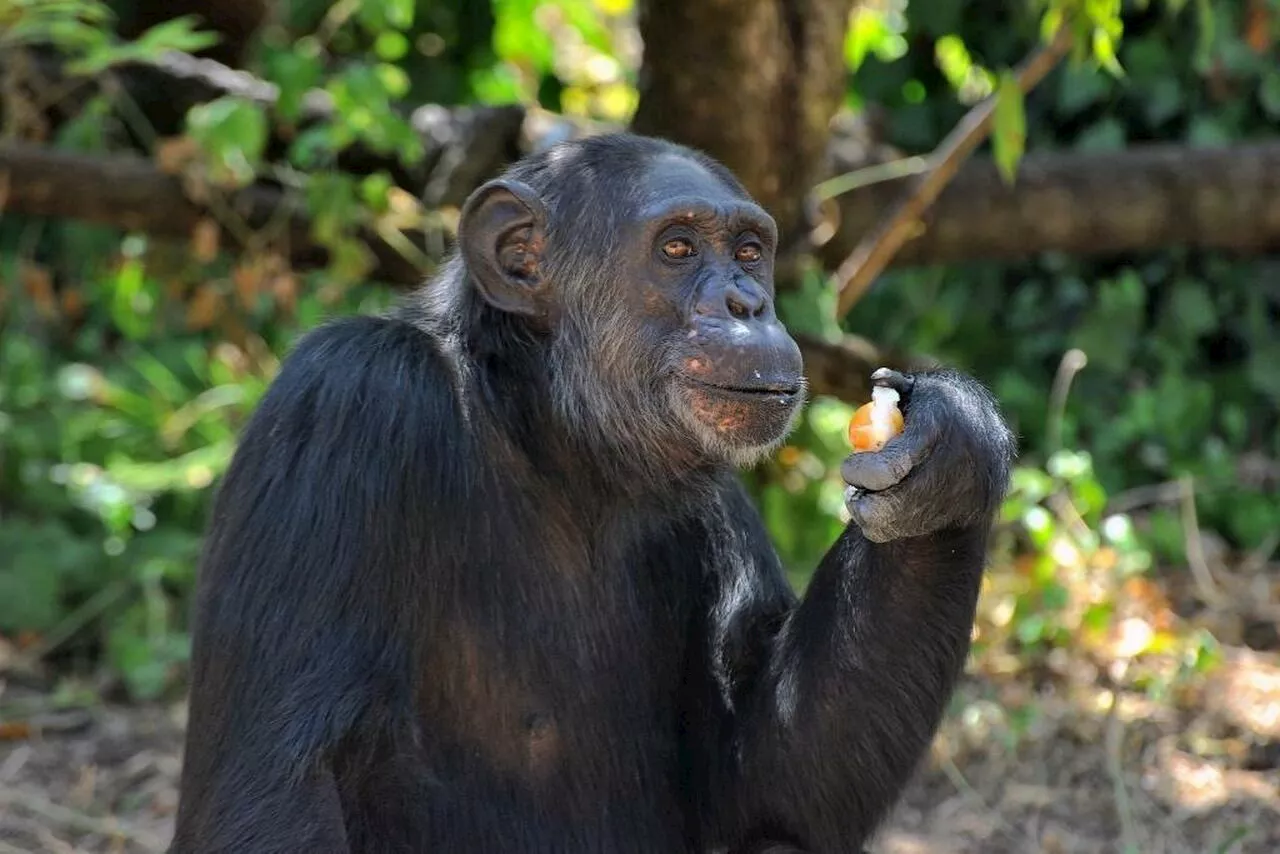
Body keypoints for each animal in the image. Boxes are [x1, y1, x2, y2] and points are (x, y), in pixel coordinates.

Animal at [170, 133, 1013, 854]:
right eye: (677, 248)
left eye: (749, 251)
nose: (747, 303)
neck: (545, 429)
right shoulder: (341, 407)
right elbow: (281, 790)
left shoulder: (715, 499)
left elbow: (769, 780)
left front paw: (950, 453)